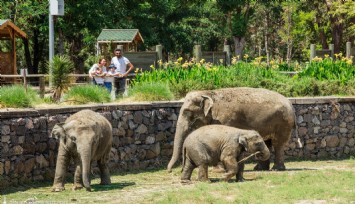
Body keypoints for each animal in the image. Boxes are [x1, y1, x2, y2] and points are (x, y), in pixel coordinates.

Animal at [168, 87, 302, 171]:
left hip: (283, 122)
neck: (208, 93)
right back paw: (260, 168)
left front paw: (218, 170)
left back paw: (276, 169)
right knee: (267, 142)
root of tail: (291, 105)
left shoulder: (225, 118)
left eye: (187, 113)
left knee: (278, 144)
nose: (170, 170)